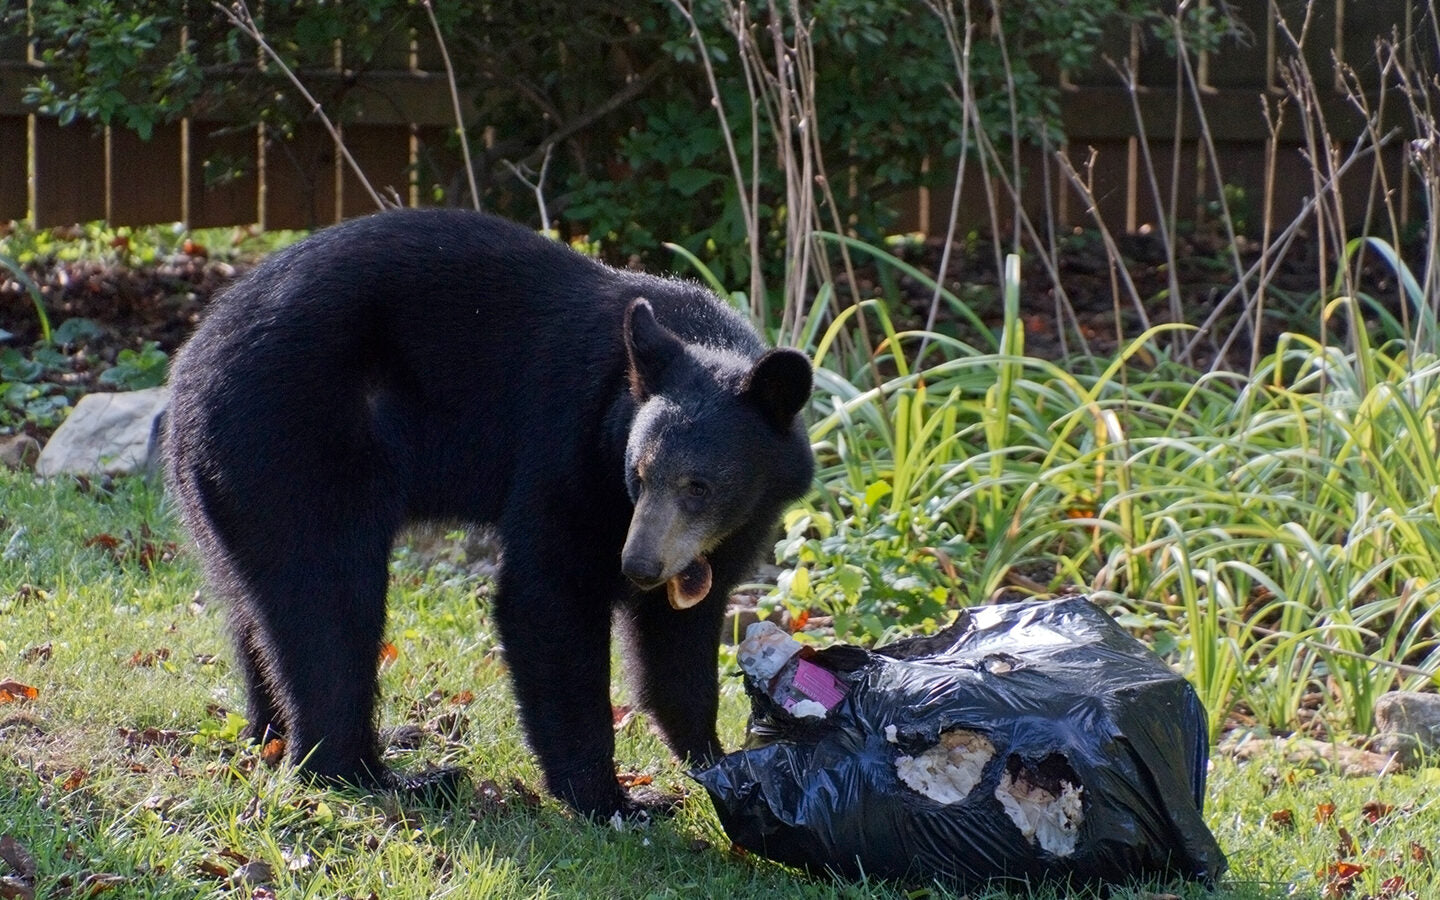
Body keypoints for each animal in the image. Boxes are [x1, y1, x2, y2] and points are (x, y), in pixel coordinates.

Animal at [163, 207, 815, 820]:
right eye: (640, 472)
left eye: (698, 486)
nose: (639, 567)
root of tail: (187, 368)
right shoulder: (568, 449)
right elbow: (549, 595)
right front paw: (614, 800)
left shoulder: (732, 523)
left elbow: (679, 634)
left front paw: (717, 761)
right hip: (292, 441)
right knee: (330, 604)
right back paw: (382, 773)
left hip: (230, 484)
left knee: (256, 606)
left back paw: (272, 734)